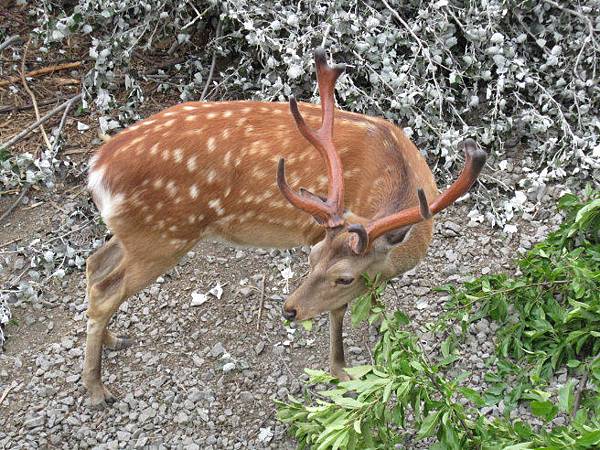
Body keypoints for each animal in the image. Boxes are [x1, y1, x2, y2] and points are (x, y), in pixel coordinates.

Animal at [84, 49, 488, 408]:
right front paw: (341, 369)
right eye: (312, 258)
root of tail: (97, 169)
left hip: (138, 233)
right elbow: (338, 312)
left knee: (95, 265)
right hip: (164, 235)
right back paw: (97, 390)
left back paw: (113, 340)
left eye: (343, 276)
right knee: (106, 290)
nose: (289, 310)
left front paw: (380, 331)